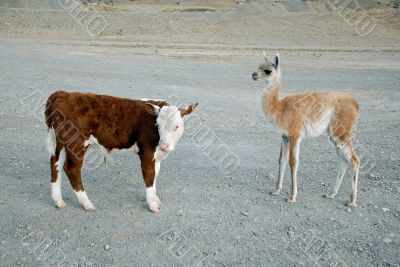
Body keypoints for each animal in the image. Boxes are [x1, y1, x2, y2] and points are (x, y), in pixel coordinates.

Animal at [44, 91, 198, 214]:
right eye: (158, 125)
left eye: (177, 126)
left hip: (61, 142)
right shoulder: (147, 152)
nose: (164, 145)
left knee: (55, 163)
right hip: (76, 142)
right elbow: (149, 176)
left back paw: (58, 201)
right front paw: (152, 204)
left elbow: (155, 175)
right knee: (72, 169)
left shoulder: (157, 155)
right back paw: (86, 203)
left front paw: (155, 199)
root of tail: (63, 93)